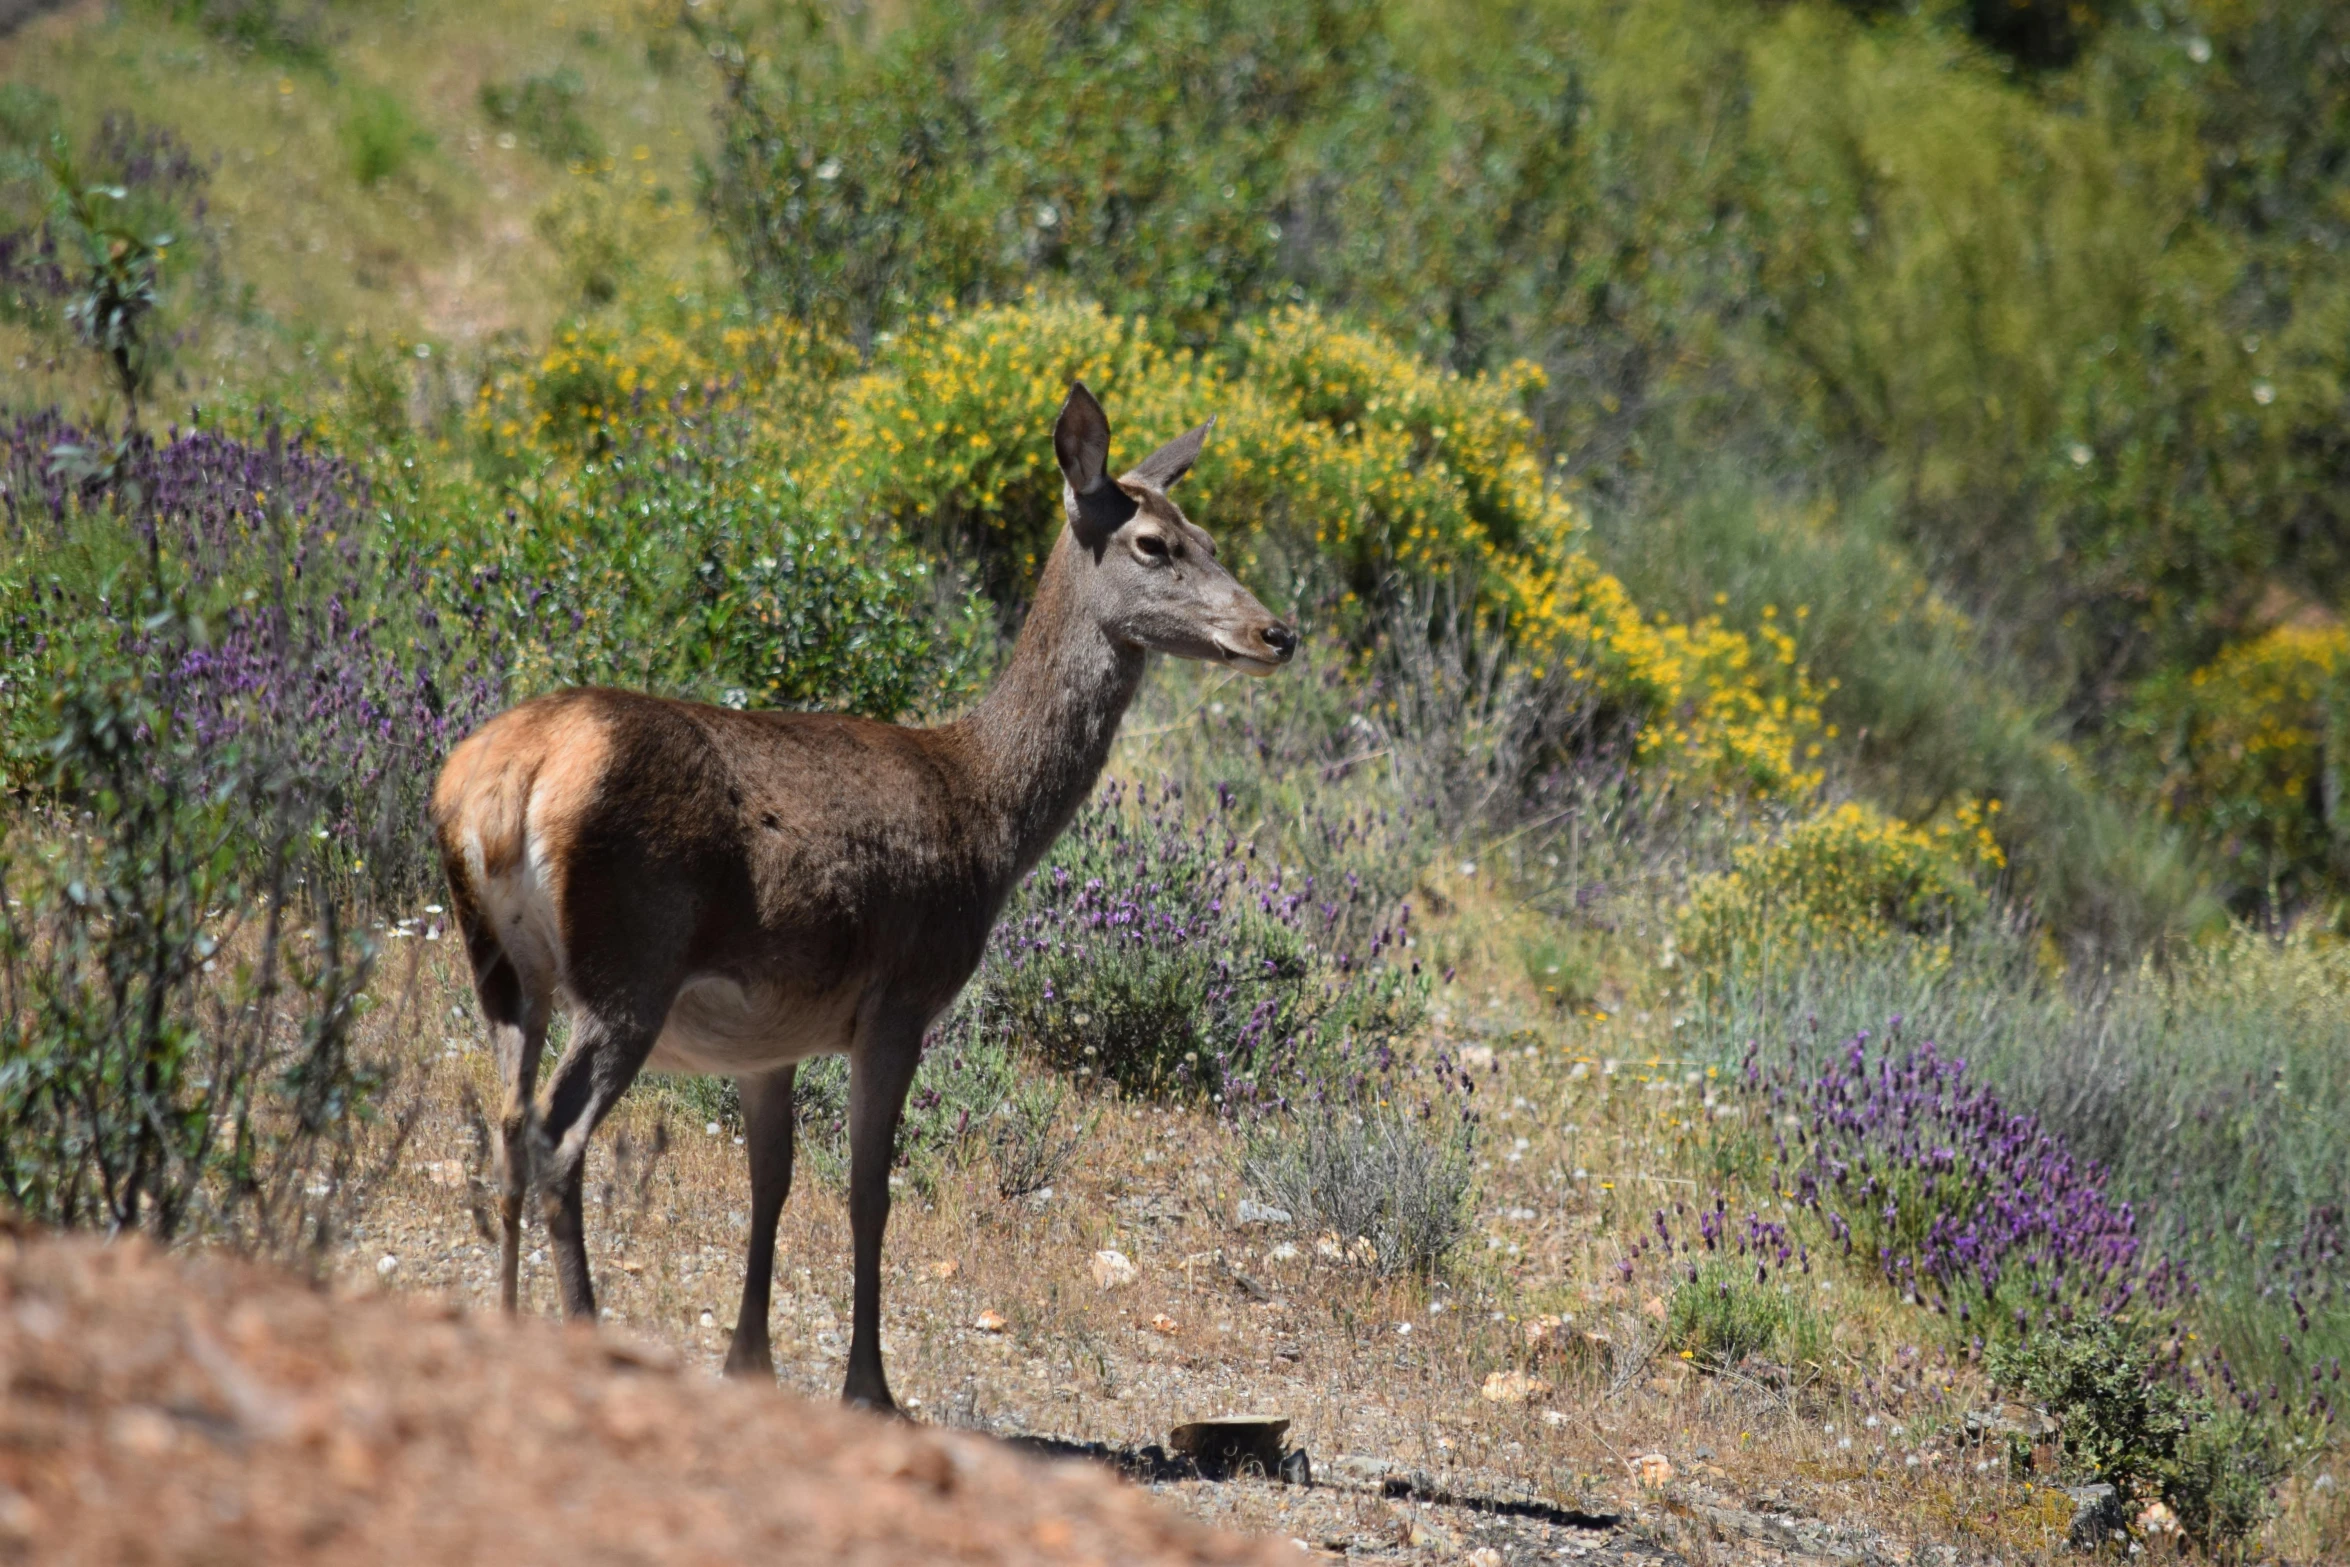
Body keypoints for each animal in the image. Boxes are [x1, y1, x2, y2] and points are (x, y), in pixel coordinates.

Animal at [432, 385, 1297, 1418]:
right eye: (1156, 544)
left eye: (1206, 532)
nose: (1277, 632)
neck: (986, 814)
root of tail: (502, 783)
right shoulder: (901, 995)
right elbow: (867, 1190)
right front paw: (872, 1389)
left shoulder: (767, 1035)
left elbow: (771, 1179)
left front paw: (751, 1359)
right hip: (628, 961)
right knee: (558, 1138)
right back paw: (585, 1340)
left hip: (499, 965)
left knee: (505, 1127)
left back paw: (507, 1330)